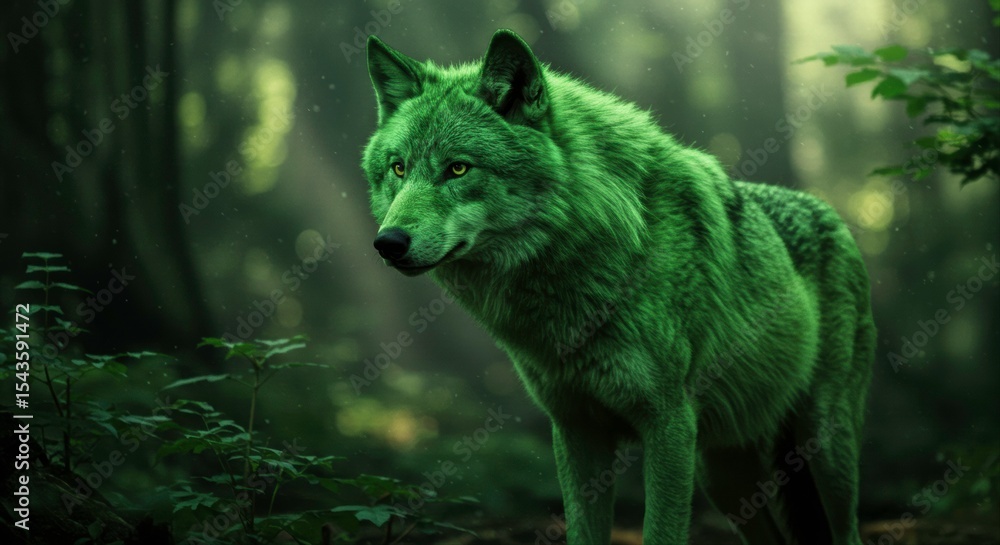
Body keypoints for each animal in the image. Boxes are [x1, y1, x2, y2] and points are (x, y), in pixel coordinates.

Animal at [362, 29, 874, 545]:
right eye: (398, 168)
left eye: (458, 169)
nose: (388, 243)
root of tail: (832, 215)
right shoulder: (575, 430)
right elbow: (583, 531)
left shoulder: (668, 424)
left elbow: (660, 532)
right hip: (724, 476)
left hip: (822, 446)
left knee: (847, 531)